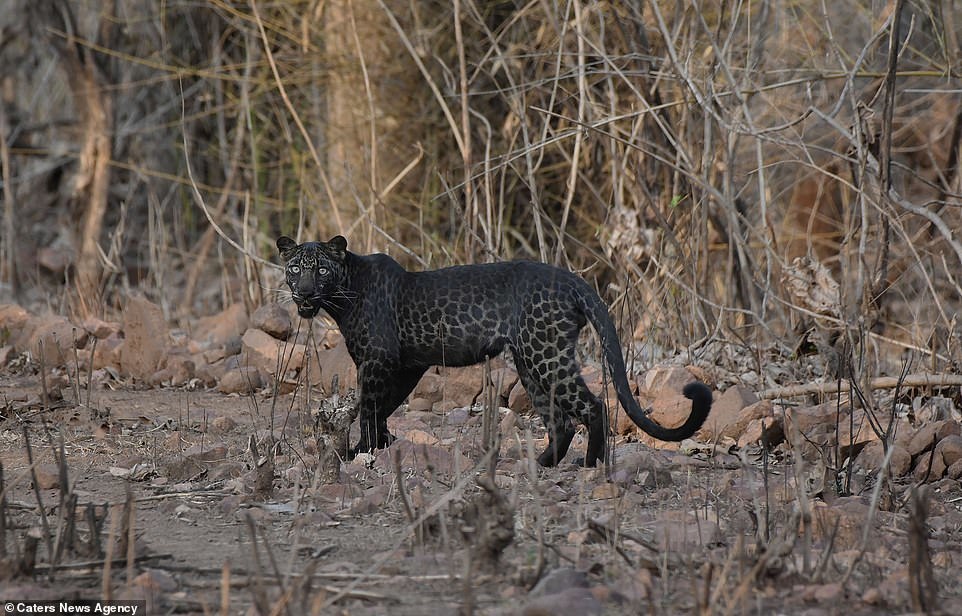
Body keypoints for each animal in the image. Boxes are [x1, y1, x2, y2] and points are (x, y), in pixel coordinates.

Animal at [274, 236, 708, 466]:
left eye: (321, 269)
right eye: (295, 268)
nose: (304, 292)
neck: (342, 296)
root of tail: (573, 280)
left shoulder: (377, 361)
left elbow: (368, 406)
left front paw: (360, 450)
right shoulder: (408, 364)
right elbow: (383, 406)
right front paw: (379, 445)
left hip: (545, 356)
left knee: (592, 405)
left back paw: (590, 463)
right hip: (531, 362)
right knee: (560, 421)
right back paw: (541, 464)